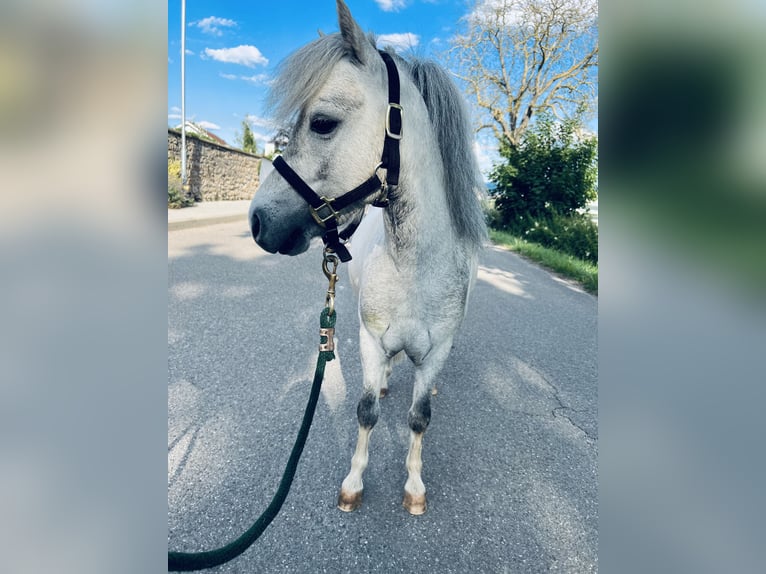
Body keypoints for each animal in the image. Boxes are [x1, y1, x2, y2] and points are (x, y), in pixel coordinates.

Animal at [250, 0, 486, 512]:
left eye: (322, 122)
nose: (257, 221)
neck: (417, 268)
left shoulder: (437, 351)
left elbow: (420, 417)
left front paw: (414, 486)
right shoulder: (370, 341)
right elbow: (365, 411)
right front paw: (354, 482)